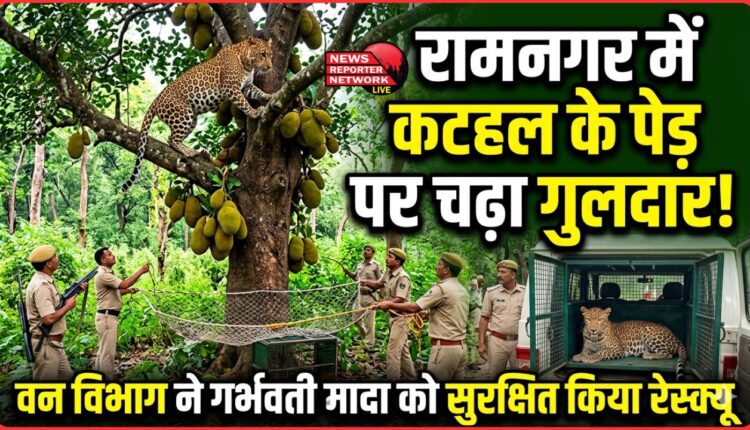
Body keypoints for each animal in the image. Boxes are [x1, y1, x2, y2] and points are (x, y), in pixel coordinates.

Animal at [121, 36, 274, 192]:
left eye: (271, 55)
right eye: (262, 54)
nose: (270, 67)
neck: (247, 64)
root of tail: (155, 100)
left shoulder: (247, 87)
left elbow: (258, 92)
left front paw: (270, 96)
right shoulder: (231, 88)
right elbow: (244, 103)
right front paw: (254, 112)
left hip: (191, 120)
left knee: (172, 138)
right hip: (183, 114)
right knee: (171, 139)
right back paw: (189, 151)